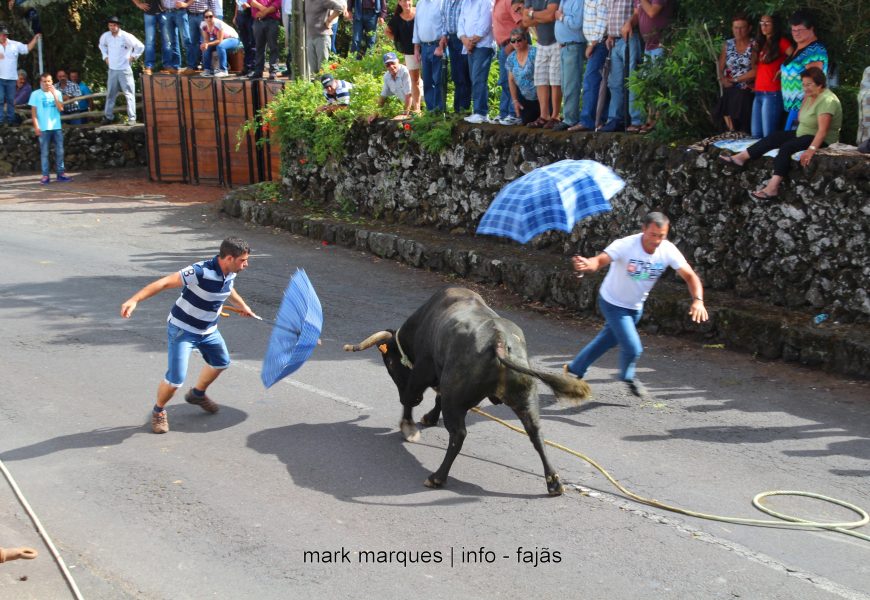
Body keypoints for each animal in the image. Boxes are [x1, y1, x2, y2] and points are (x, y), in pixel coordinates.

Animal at [344, 288, 596, 494]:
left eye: (389, 363)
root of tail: (499, 341)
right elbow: (434, 397)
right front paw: (428, 418)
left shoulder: (423, 370)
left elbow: (413, 397)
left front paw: (409, 426)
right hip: (524, 398)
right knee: (536, 433)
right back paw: (554, 482)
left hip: (455, 398)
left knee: (458, 435)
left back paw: (437, 477)